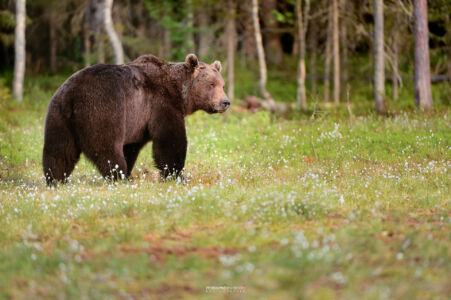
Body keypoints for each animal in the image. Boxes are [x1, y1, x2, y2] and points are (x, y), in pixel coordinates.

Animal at [43, 54, 230, 185]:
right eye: (211, 84)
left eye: (222, 85)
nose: (225, 102)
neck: (179, 92)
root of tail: (72, 96)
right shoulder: (161, 104)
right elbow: (170, 140)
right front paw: (176, 175)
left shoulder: (137, 121)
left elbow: (131, 147)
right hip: (103, 109)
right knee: (107, 148)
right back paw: (118, 176)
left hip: (58, 116)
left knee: (59, 151)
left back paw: (55, 179)